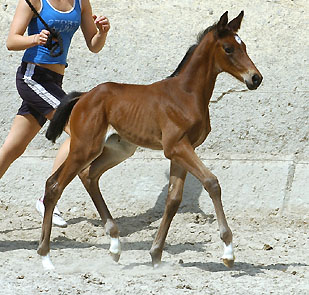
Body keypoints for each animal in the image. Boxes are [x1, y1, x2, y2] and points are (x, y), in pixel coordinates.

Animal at [37, 11, 262, 270]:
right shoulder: (176, 147)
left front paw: (155, 255)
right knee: (55, 185)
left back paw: (115, 245)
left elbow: (173, 199)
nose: (256, 78)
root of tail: (84, 96)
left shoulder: (182, 150)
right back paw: (45, 256)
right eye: (228, 48)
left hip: (118, 149)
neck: (186, 95)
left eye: (244, 46)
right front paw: (228, 251)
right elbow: (211, 182)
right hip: (85, 147)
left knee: (87, 176)